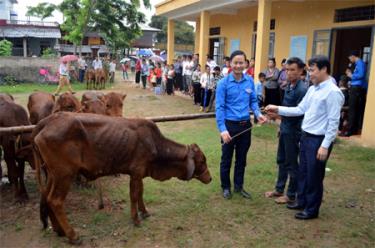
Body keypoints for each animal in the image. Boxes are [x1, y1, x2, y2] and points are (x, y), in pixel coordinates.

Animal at [32, 113, 212, 244]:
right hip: (64, 175)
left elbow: (140, 193)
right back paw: (73, 236)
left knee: (46, 198)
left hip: (53, 175)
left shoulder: (139, 174)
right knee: (55, 201)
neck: (155, 144)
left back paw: (59, 230)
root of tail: (47, 121)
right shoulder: (136, 172)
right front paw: (136, 219)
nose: (210, 178)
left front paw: (144, 212)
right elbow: (134, 195)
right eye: (202, 161)